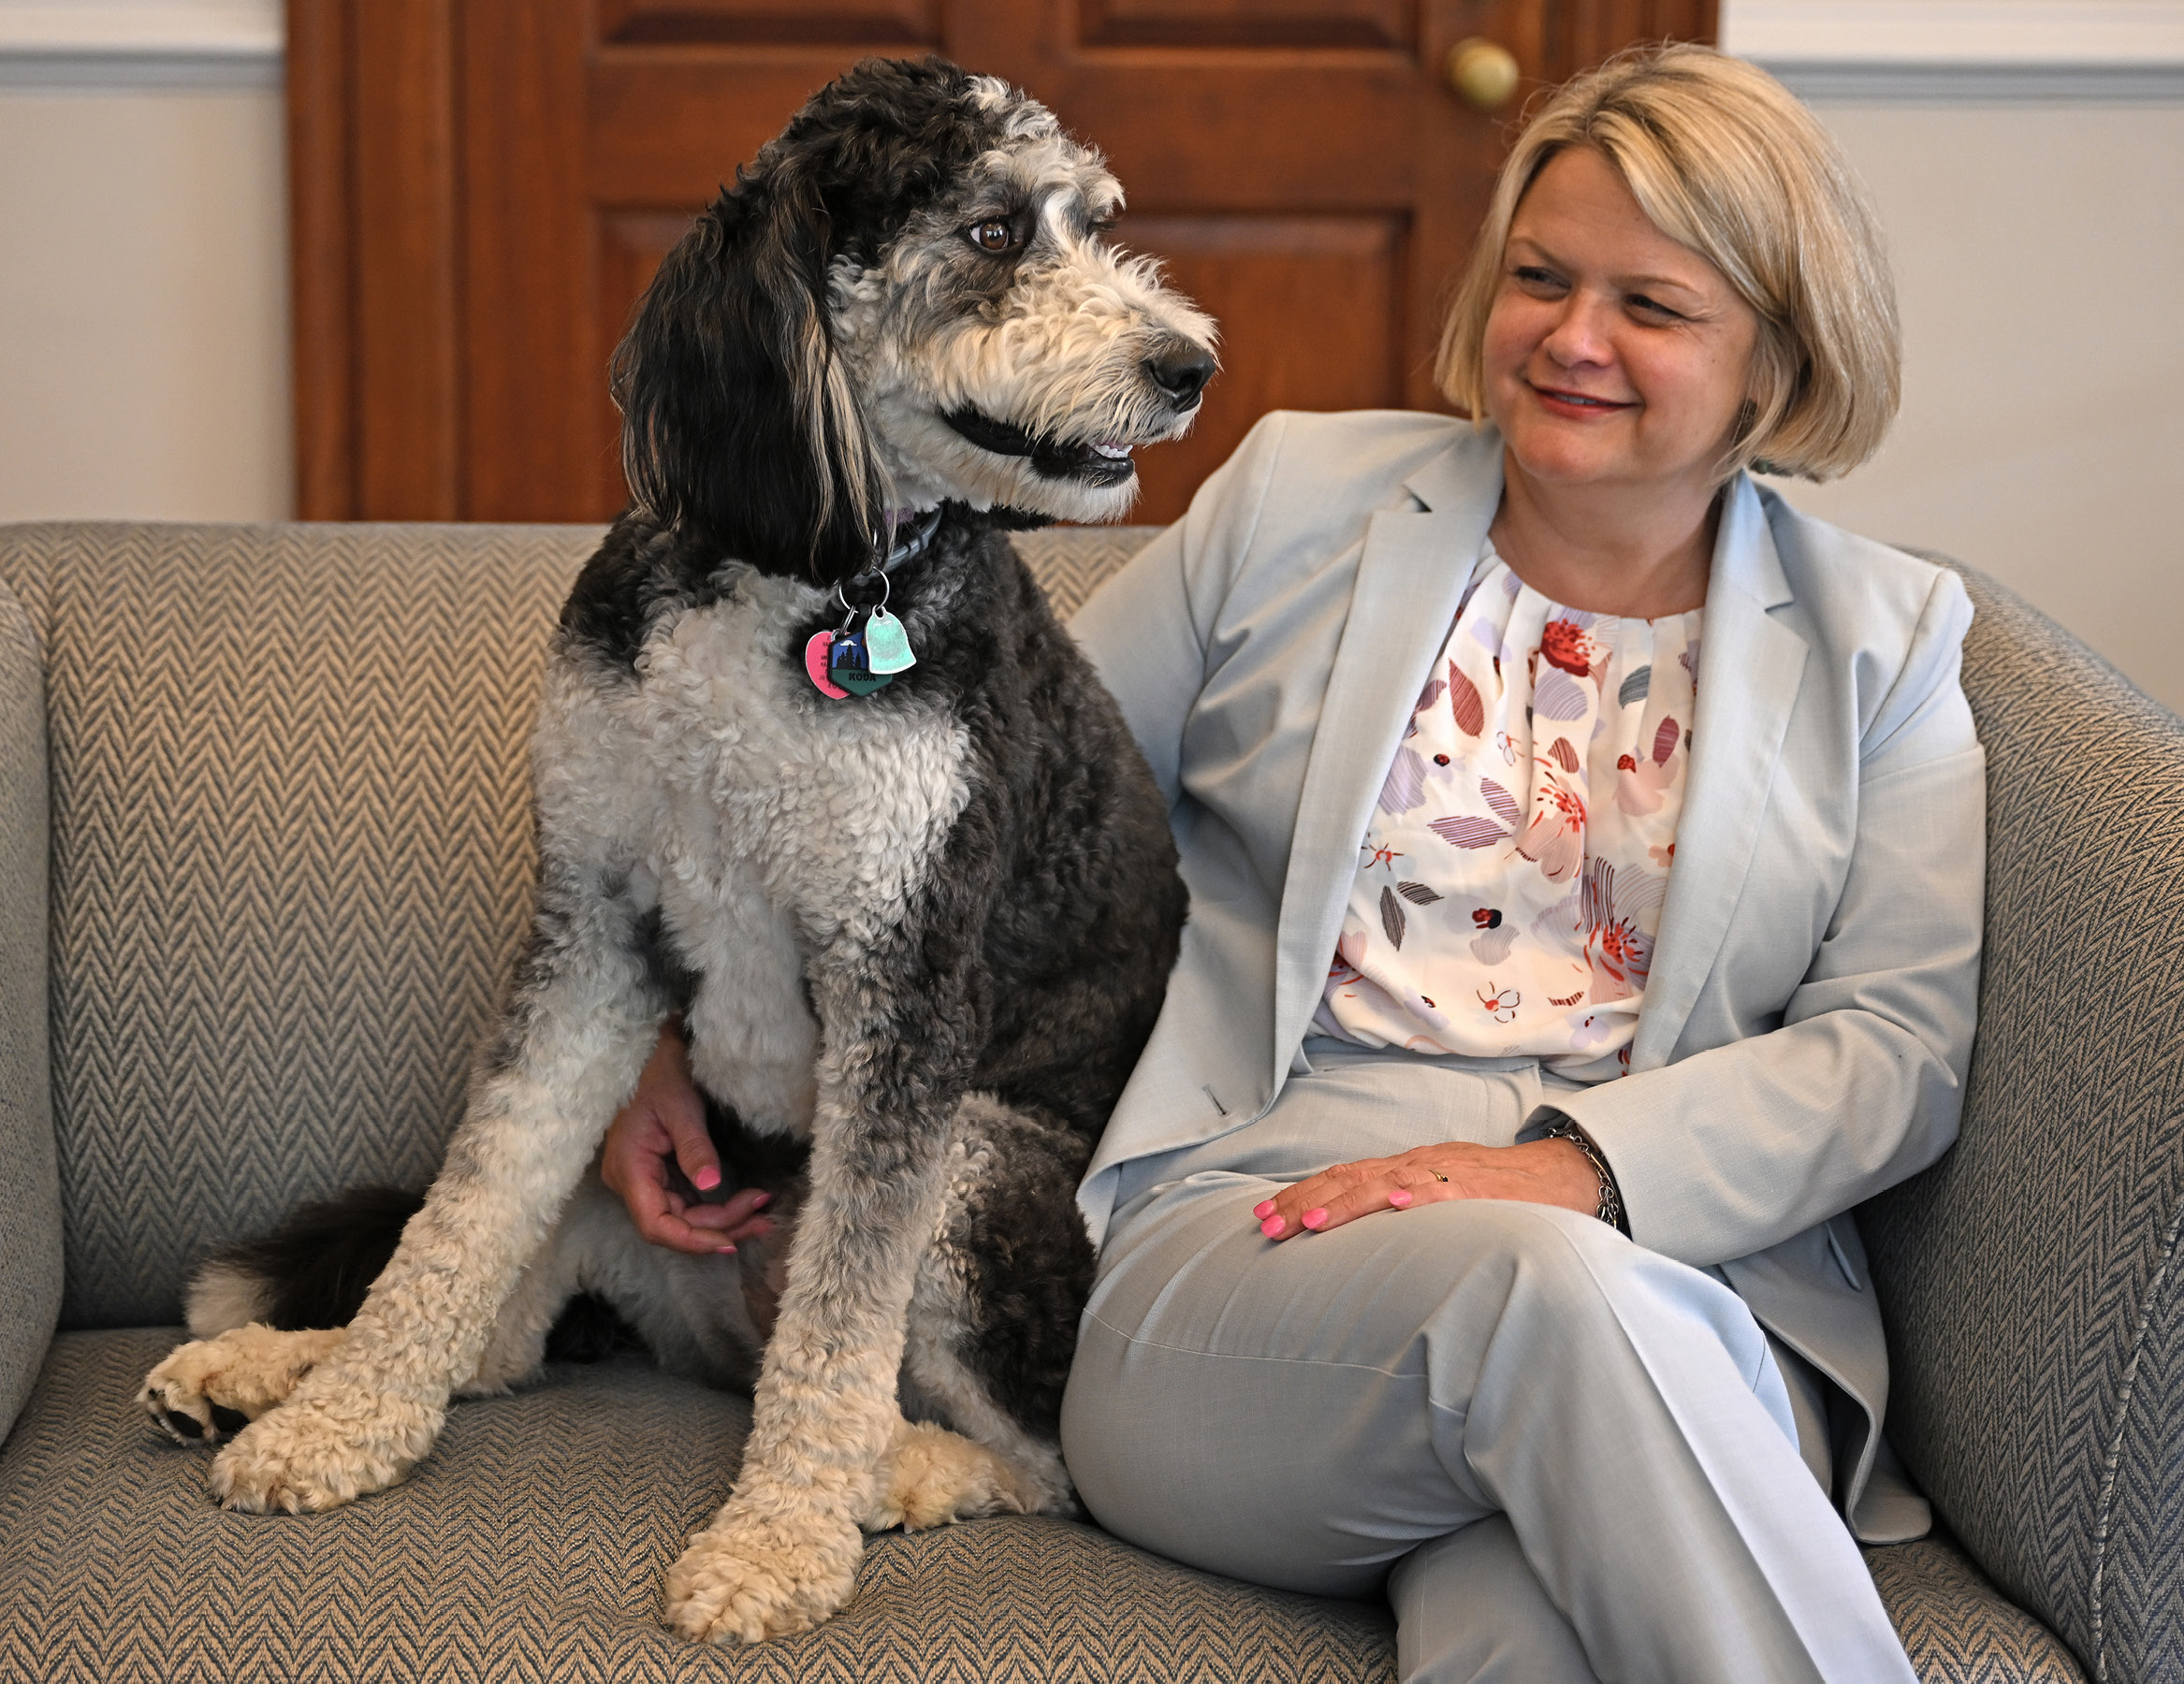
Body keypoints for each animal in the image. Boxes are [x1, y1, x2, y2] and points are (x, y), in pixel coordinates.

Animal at [132, 55, 1214, 1642]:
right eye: (995, 231)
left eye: (1097, 223)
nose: (1187, 364)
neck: (801, 584)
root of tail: (715, 1331)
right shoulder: (593, 923)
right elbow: (463, 1216)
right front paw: (338, 1423)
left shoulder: (907, 984)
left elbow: (842, 1317)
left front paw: (775, 1543)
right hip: (628, 1186)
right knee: (502, 1327)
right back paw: (264, 1368)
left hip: (979, 1162)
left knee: (1041, 1461)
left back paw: (888, 1472)